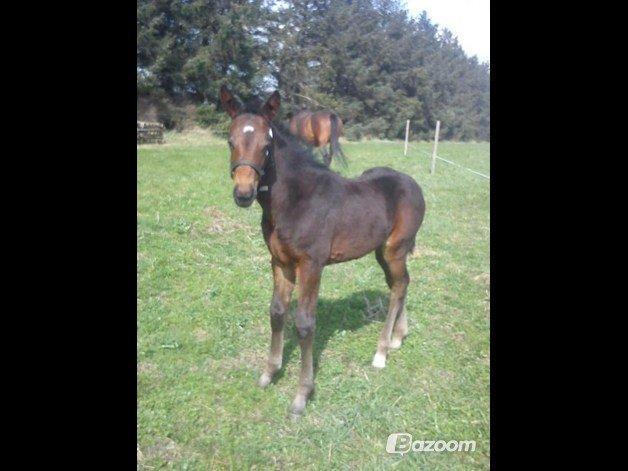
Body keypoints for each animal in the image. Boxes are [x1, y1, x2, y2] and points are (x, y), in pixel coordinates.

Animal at [218, 85, 424, 416]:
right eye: (230, 142)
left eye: (266, 145)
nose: (244, 194)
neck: (294, 200)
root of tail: (414, 184)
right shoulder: (280, 262)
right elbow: (277, 312)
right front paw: (269, 373)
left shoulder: (311, 264)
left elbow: (304, 323)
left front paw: (302, 394)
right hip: (382, 252)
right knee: (400, 284)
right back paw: (397, 337)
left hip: (395, 249)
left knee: (399, 286)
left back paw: (380, 352)